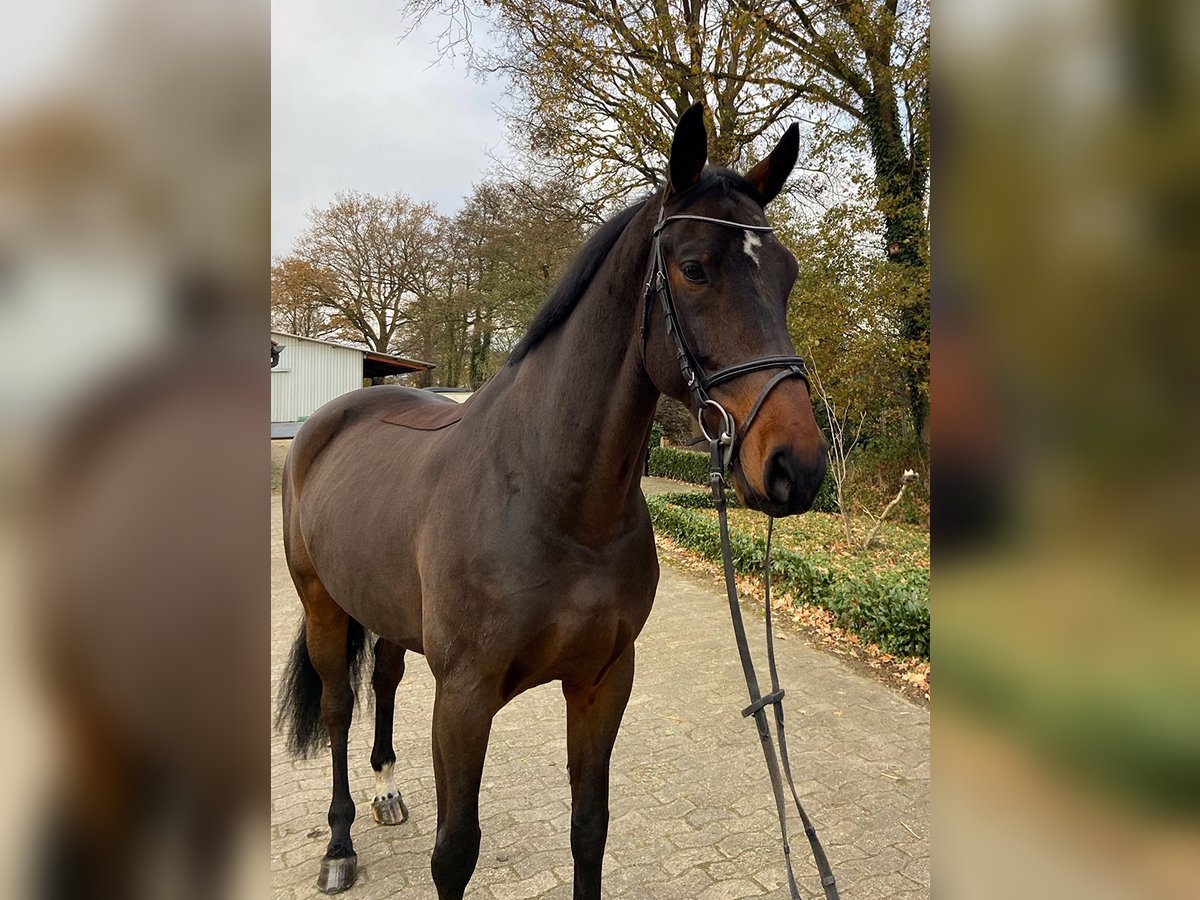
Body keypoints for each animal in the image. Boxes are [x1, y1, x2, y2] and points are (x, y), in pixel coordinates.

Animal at [276, 103, 829, 900]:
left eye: (787, 278)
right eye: (694, 268)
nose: (797, 467)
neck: (557, 503)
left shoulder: (602, 682)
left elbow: (589, 830)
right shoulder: (465, 698)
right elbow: (455, 853)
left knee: (383, 679)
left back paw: (386, 790)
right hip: (322, 604)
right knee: (338, 709)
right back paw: (341, 842)